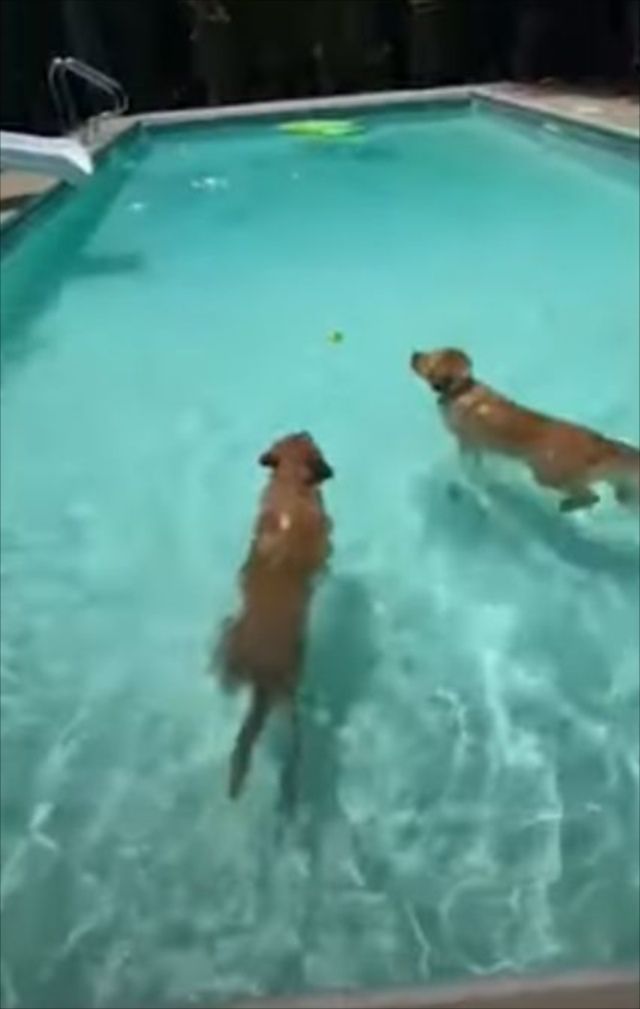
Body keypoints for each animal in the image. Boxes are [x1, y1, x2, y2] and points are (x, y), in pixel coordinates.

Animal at [219, 432, 333, 800]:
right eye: (311, 441)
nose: (308, 428)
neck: (290, 484)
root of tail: (262, 676)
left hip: (230, 637)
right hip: (293, 681)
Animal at [411, 348, 640, 512]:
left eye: (429, 362)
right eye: (430, 351)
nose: (413, 354)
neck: (462, 391)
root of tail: (598, 442)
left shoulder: (466, 442)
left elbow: (469, 464)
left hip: (545, 474)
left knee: (591, 496)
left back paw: (567, 506)